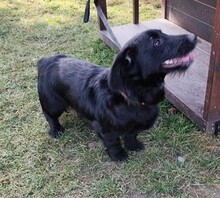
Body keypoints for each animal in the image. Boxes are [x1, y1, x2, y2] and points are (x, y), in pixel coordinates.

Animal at [37, 29, 197, 161]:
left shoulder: (135, 128)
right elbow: (113, 143)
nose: (194, 36)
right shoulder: (107, 132)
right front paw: (118, 155)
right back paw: (56, 131)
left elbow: (131, 135)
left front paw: (133, 146)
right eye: (156, 42)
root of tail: (46, 60)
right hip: (53, 104)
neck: (131, 97)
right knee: (49, 116)